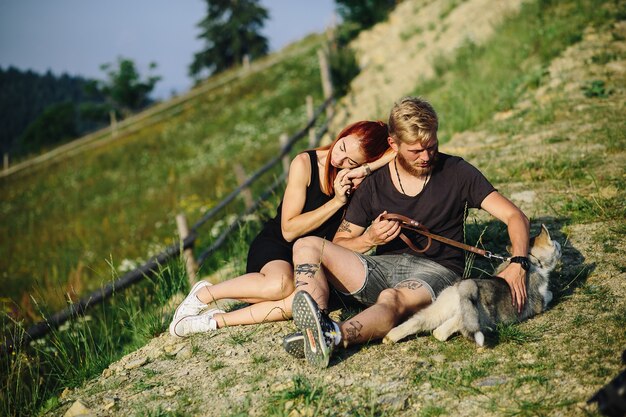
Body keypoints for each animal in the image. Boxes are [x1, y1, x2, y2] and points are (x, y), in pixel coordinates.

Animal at [382, 226, 560, 346]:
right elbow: (550, 294)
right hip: (475, 315)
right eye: (555, 245)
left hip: (437, 309)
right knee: (442, 331)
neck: (532, 261)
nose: (559, 244)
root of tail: (465, 285)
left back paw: (390, 337)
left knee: (420, 323)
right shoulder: (540, 300)